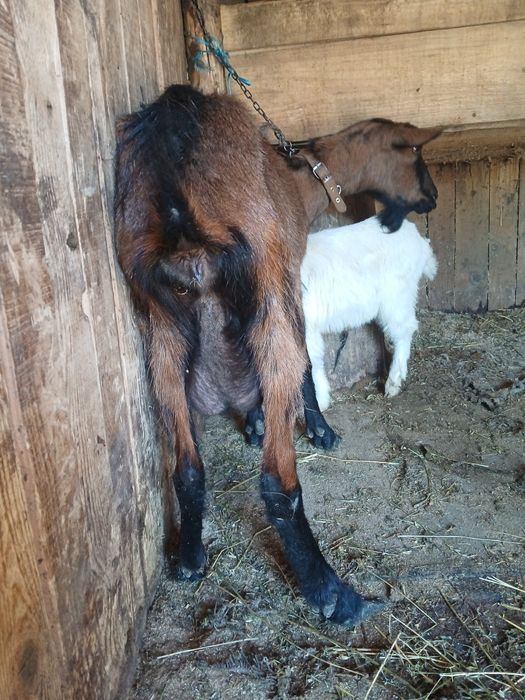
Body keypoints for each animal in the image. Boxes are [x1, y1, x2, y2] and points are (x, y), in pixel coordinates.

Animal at [301, 216, 438, 414]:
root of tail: (417, 237)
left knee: (405, 330)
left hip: (396, 297)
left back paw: (393, 382)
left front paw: (318, 402)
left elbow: (311, 364)